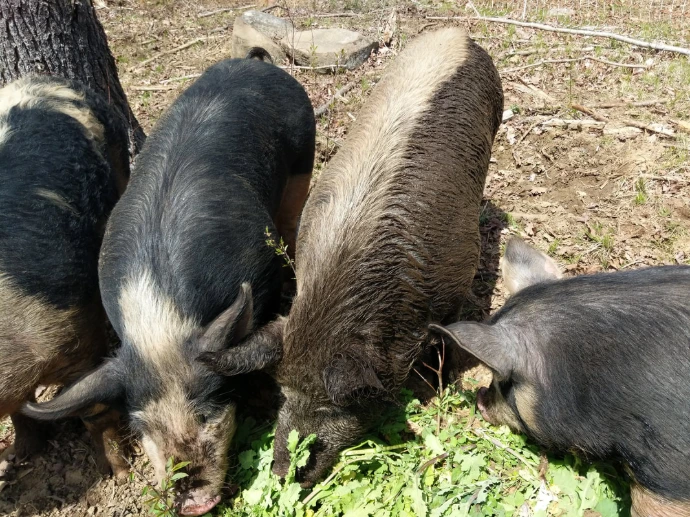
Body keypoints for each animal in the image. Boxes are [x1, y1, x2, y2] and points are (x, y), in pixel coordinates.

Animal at [22, 50, 316, 515]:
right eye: (142, 425)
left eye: (208, 412)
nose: (191, 502)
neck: (158, 320)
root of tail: (251, 62)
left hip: (304, 155)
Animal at [198, 27, 504, 485]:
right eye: (281, 390)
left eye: (334, 405)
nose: (284, 471)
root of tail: (456, 33)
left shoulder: (458, 277)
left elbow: (448, 340)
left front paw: (441, 384)